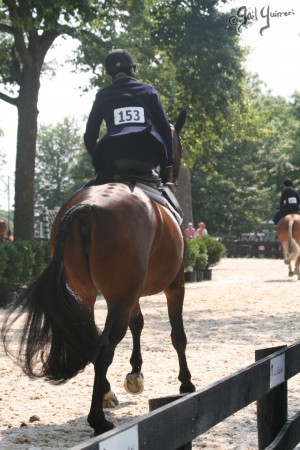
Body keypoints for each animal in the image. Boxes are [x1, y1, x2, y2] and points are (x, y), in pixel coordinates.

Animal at [1, 111, 196, 436]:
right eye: (178, 144)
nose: (175, 174)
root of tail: (90, 207)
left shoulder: (131, 292)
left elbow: (138, 324)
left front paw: (135, 374)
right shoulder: (175, 284)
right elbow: (177, 335)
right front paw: (185, 383)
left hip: (87, 295)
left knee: (94, 340)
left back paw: (106, 395)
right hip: (121, 296)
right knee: (104, 348)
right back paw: (99, 419)